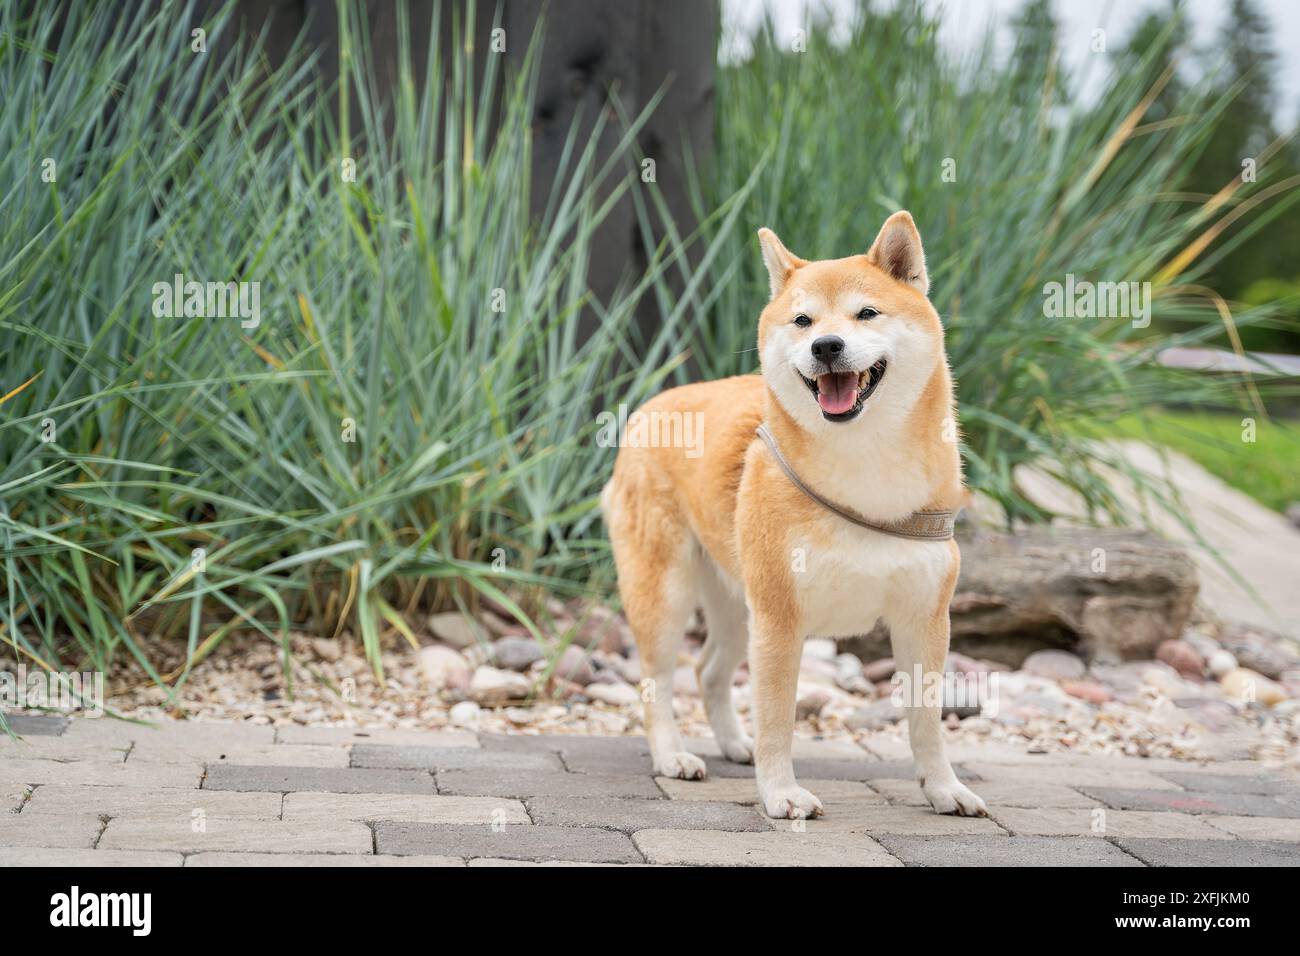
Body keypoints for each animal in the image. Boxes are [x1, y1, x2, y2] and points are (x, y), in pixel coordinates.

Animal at [603, 213, 987, 816]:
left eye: (866, 313)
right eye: (803, 321)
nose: (826, 345)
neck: (864, 467)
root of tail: (649, 407)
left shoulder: (923, 618)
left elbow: (926, 723)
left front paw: (944, 788)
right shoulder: (780, 618)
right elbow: (778, 717)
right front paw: (781, 792)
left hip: (737, 605)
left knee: (708, 670)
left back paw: (734, 745)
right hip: (668, 596)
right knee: (657, 679)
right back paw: (672, 756)